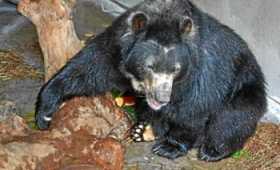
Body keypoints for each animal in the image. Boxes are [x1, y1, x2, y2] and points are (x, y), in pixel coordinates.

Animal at [35, 0, 266, 161]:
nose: (162, 98)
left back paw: (212, 150)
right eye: (150, 66)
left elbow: (195, 107)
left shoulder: (203, 68)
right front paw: (45, 112)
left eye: (176, 70)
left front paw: (170, 146)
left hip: (245, 87)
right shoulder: (116, 45)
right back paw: (144, 129)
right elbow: (90, 68)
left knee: (233, 117)